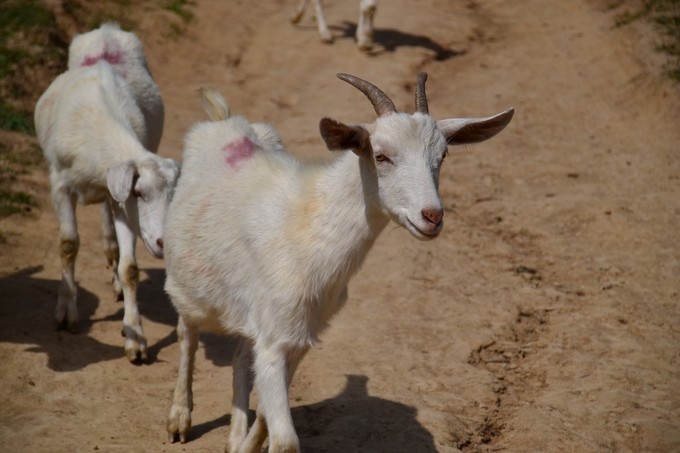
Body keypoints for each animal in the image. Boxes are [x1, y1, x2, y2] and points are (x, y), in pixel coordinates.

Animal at [34, 23, 181, 364]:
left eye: (173, 196)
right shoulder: (60, 184)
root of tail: (106, 29)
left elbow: (131, 270)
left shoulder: (121, 203)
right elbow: (68, 245)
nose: (164, 243)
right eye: (139, 192)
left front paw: (135, 338)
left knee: (109, 235)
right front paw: (66, 312)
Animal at [165, 72, 512, 450]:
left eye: (444, 154)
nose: (432, 216)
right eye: (380, 155)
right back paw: (179, 420)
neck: (308, 225)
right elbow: (285, 439)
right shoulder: (275, 342)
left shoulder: (300, 333)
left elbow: (266, 413)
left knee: (240, 357)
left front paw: (246, 445)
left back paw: (234, 437)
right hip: (187, 289)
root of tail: (224, 121)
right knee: (187, 338)